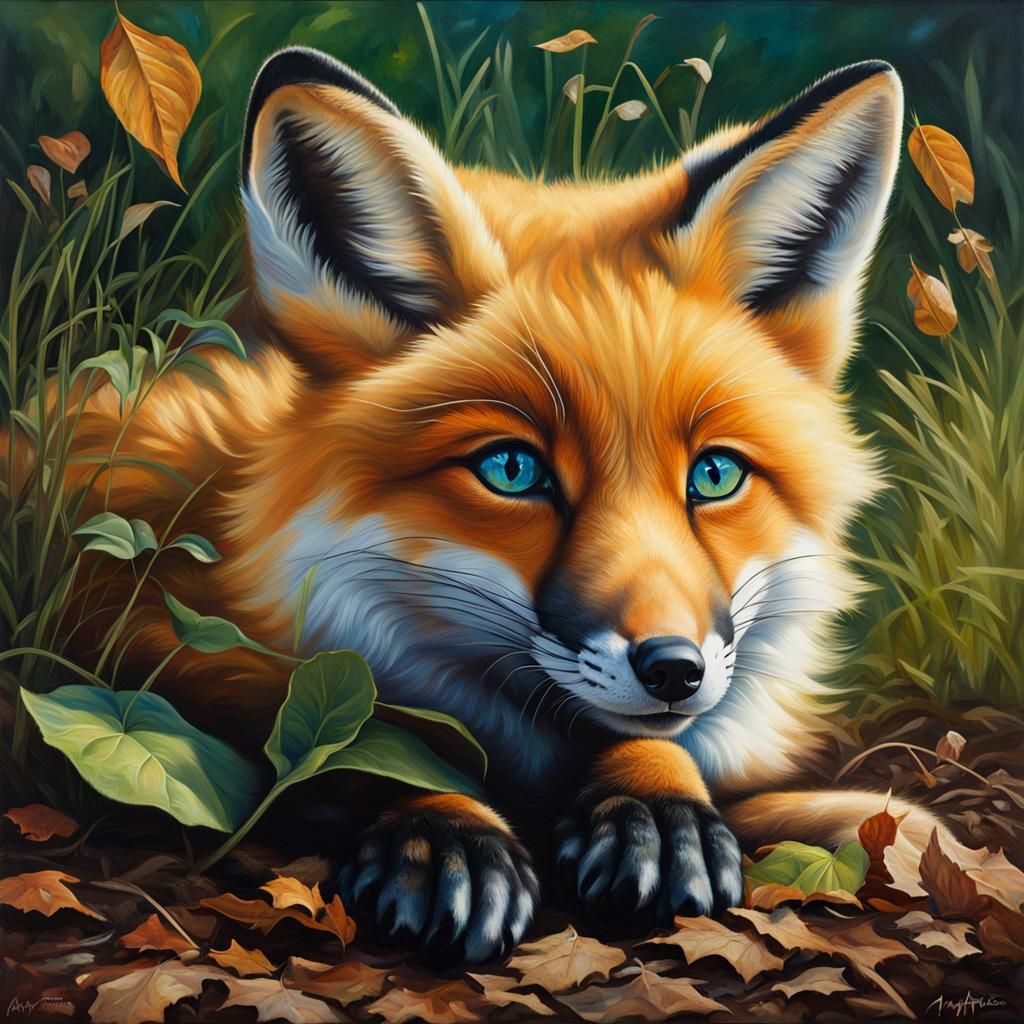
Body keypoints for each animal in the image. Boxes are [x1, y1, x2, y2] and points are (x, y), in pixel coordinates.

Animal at [19, 48, 952, 963]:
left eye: (716, 477)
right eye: (510, 469)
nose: (674, 669)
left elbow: (862, 815)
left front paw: (655, 808)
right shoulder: (178, 659)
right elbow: (360, 740)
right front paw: (446, 829)